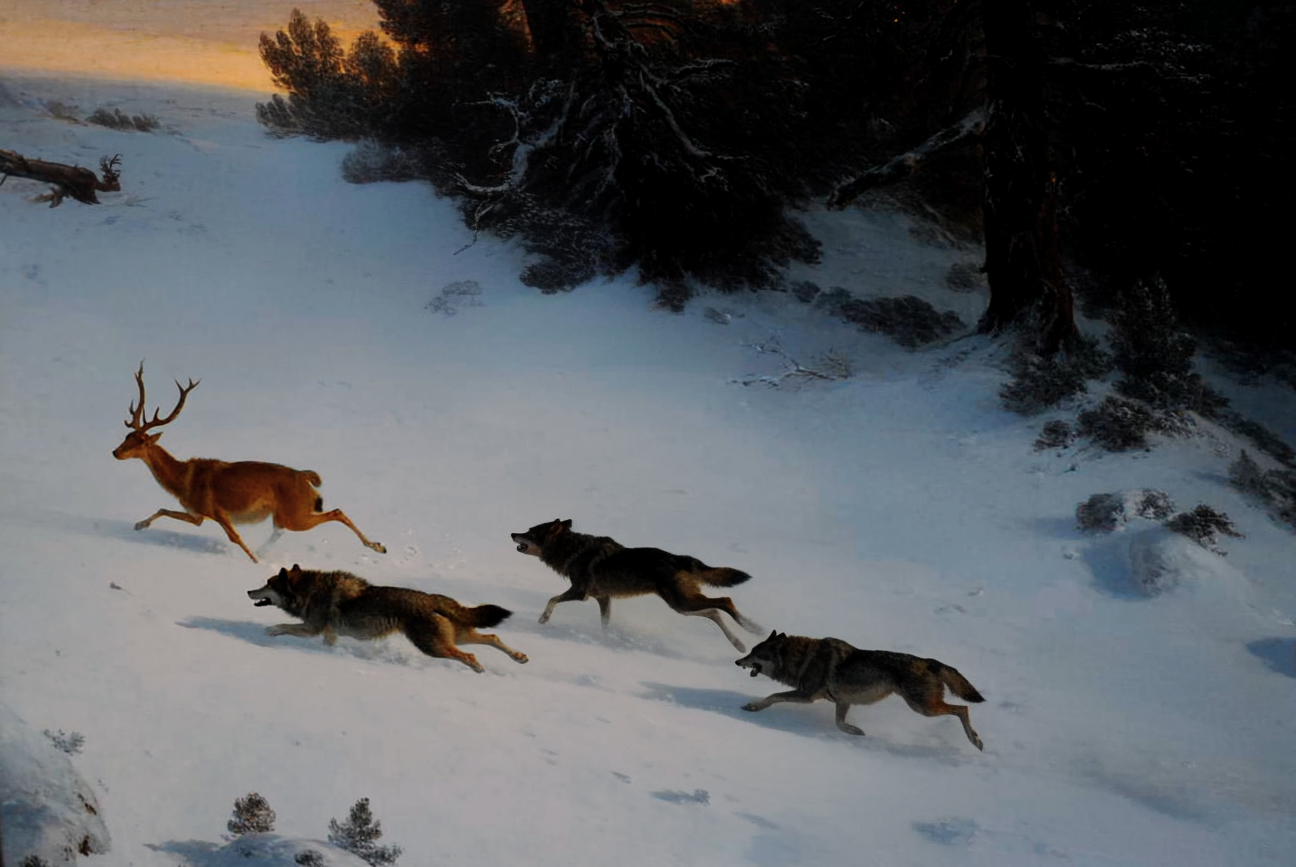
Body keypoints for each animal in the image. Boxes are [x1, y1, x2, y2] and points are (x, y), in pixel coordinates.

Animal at [247, 565, 529, 673]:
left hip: (434, 647)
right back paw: (519, 657)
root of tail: (433, 599)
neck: (309, 591)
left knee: (470, 654)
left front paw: (270, 632)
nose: (249, 591)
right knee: (492, 636)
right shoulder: (329, 633)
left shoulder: (312, 628)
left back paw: (478, 668)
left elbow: (283, 626)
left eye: (268, 584)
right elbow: (328, 644)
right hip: (454, 638)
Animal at [510, 519, 763, 651]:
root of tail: (682, 558)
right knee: (714, 611)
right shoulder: (603, 599)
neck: (571, 549)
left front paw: (543, 619)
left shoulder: (580, 592)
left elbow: (551, 599)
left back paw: (754, 629)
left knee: (725, 601)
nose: (512, 533)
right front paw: (607, 641)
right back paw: (740, 644)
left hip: (682, 602)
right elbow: (605, 625)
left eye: (529, 532)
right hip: (682, 606)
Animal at [735, 631, 985, 750]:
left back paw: (975, 740)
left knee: (962, 708)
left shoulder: (807, 696)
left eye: (755, 654)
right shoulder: (842, 701)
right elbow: (840, 723)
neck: (802, 659)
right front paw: (855, 732)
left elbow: (773, 696)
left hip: (923, 708)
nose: (738, 661)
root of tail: (929, 662)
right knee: (962, 708)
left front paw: (753, 707)